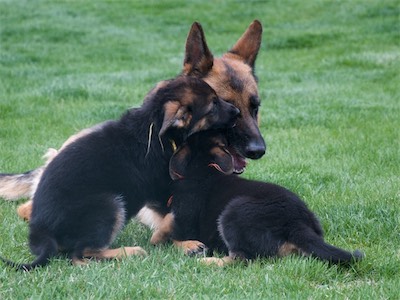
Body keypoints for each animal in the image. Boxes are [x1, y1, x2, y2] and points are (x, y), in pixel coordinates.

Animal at [0, 78, 241, 272]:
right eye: (213, 105)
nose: (238, 113)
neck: (153, 124)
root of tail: (42, 232)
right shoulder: (165, 194)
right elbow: (170, 220)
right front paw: (185, 243)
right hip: (110, 204)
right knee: (79, 254)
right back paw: (128, 252)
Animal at [158, 130, 364, 266]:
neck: (204, 168)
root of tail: (296, 222)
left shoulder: (181, 219)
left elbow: (168, 239)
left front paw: (190, 247)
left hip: (232, 213)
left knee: (240, 258)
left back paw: (208, 261)